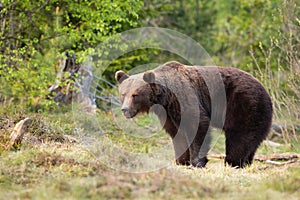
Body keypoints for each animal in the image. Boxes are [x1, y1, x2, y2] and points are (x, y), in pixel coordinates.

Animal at [114, 61, 272, 167]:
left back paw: (233, 162)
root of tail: (265, 89)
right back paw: (246, 162)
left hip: (244, 104)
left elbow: (197, 124)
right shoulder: (169, 113)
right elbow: (176, 133)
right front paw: (181, 160)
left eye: (135, 95)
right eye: (123, 94)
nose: (125, 109)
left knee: (239, 136)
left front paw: (197, 162)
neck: (165, 98)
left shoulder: (185, 97)